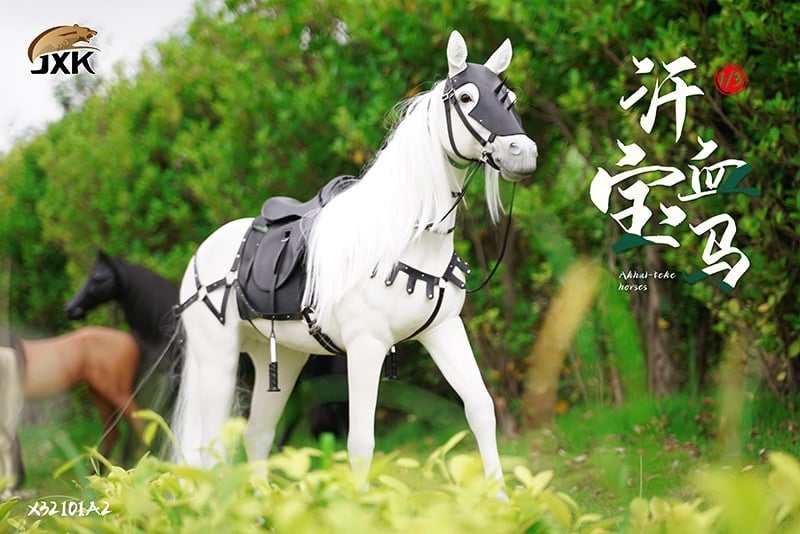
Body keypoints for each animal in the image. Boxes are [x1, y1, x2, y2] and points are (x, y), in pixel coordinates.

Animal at [171, 30, 538, 491]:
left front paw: (502, 500)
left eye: (509, 97)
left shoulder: (444, 331)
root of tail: (200, 258)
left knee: (257, 436)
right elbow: (361, 445)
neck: (407, 237)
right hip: (216, 358)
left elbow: (481, 410)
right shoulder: (366, 346)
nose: (523, 153)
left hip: (281, 357)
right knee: (210, 452)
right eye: (468, 96)